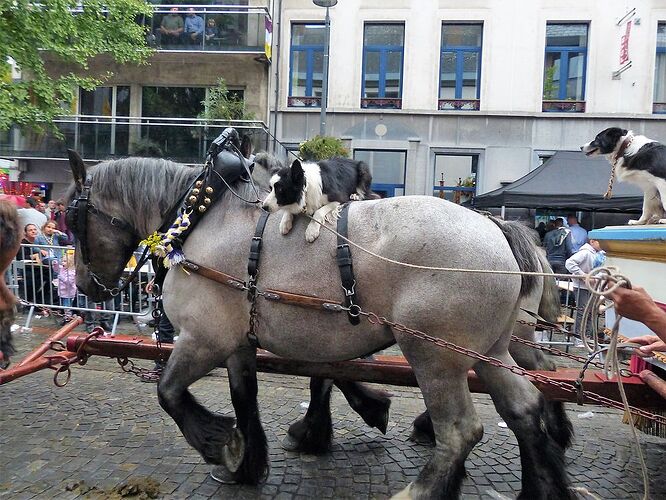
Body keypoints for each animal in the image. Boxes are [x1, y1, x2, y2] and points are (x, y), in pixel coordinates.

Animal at [66, 131, 572, 498]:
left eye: (73, 219)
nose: (89, 287)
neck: (197, 217)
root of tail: (497, 228)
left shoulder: (203, 338)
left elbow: (169, 393)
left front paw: (218, 443)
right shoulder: (239, 342)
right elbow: (245, 398)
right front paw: (247, 463)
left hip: (436, 355)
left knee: (462, 431)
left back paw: (421, 489)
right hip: (491, 351)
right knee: (524, 408)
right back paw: (542, 486)